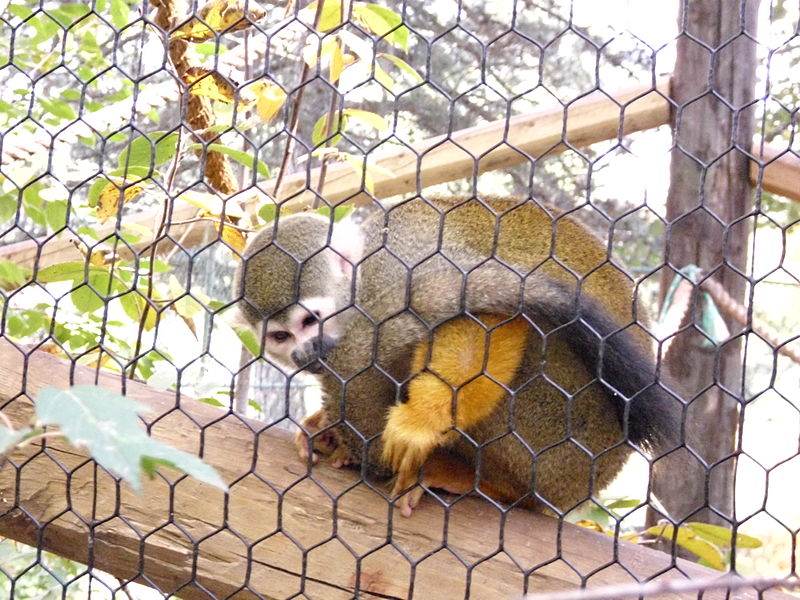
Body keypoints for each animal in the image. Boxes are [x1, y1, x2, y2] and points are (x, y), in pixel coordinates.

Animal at [238, 196, 680, 516]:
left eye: (309, 320)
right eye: (280, 336)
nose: (303, 353)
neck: (363, 282)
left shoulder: (401, 285)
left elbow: (495, 314)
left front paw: (418, 422)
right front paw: (327, 428)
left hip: (560, 445)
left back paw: (494, 484)